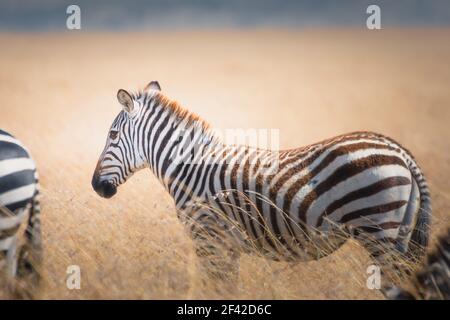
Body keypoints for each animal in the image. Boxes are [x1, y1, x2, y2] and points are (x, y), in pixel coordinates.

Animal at [91, 82, 432, 296]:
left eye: (112, 135)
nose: (96, 187)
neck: (189, 168)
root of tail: (399, 151)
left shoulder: (209, 240)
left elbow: (218, 290)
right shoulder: (224, 246)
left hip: (379, 230)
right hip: (399, 234)